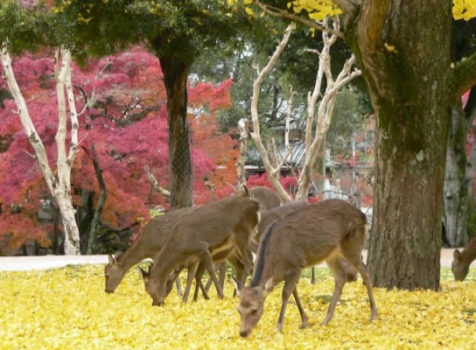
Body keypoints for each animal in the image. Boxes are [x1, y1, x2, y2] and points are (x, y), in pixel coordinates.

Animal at [236, 197, 378, 336]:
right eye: (238, 309)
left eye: (255, 309)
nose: (243, 333)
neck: (275, 264)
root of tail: (363, 215)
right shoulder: (287, 271)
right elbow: (294, 291)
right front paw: (305, 321)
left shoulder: (296, 265)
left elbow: (285, 294)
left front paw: (279, 327)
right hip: (331, 253)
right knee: (341, 276)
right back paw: (326, 320)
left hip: (352, 243)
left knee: (365, 271)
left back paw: (373, 315)